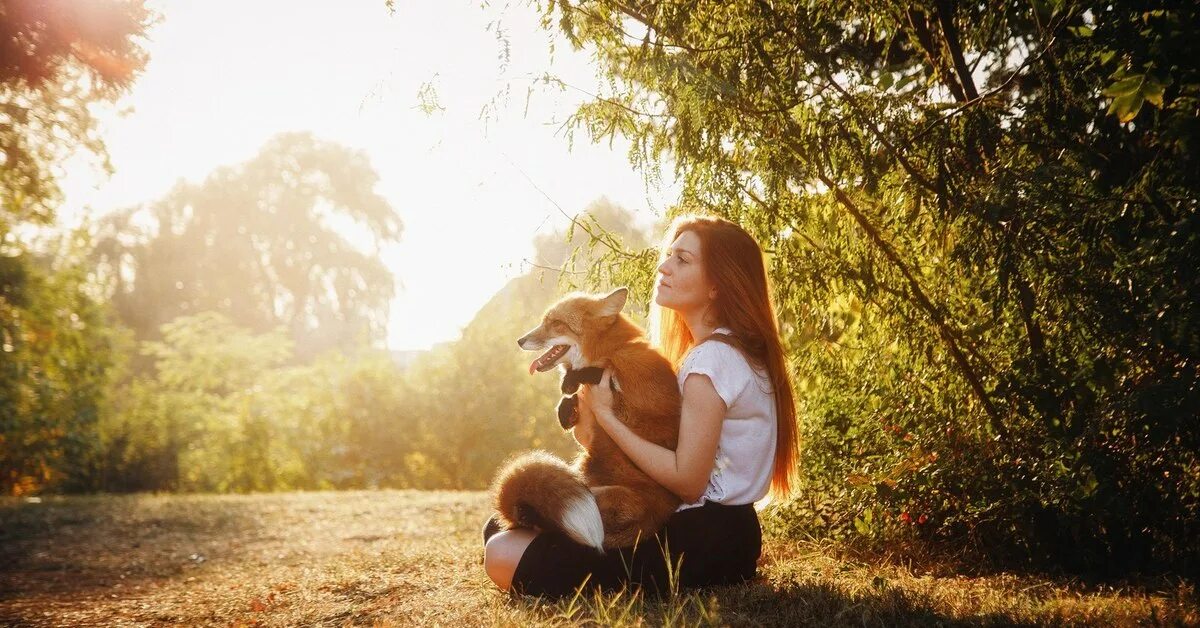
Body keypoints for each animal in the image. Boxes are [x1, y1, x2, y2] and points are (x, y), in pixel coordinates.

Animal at [489, 290, 686, 549]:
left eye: (556, 323)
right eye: (545, 321)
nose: (520, 341)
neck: (612, 351)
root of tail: (654, 522)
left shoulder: (628, 396)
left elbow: (597, 374)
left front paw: (571, 380)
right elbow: (569, 401)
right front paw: (566, 409)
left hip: (607, 498)